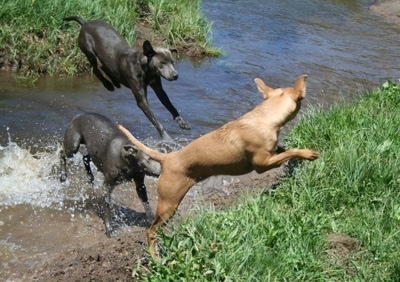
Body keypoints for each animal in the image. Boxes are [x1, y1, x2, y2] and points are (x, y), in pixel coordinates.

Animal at [63, 15, 191, 139]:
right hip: (89, 51)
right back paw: (108, 85)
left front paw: (182, 122)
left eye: (173, 62)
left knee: (105, 66)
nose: (175, 75)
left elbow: (169, 105)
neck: (144, 68)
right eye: (162, 64)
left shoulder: (158, 87)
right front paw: (167, 137)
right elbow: (154, 120)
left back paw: (115, 82)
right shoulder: (141, 99)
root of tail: (85, 23)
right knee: (95, 68)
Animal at [118, 75, 318, 258]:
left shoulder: (271, 153)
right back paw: (155, 257)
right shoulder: (262, 164)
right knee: (151, 231)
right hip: (169, 204)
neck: (264, 117)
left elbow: (284, 149)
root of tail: (168, 158)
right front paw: (307, 154)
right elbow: (288, 153)